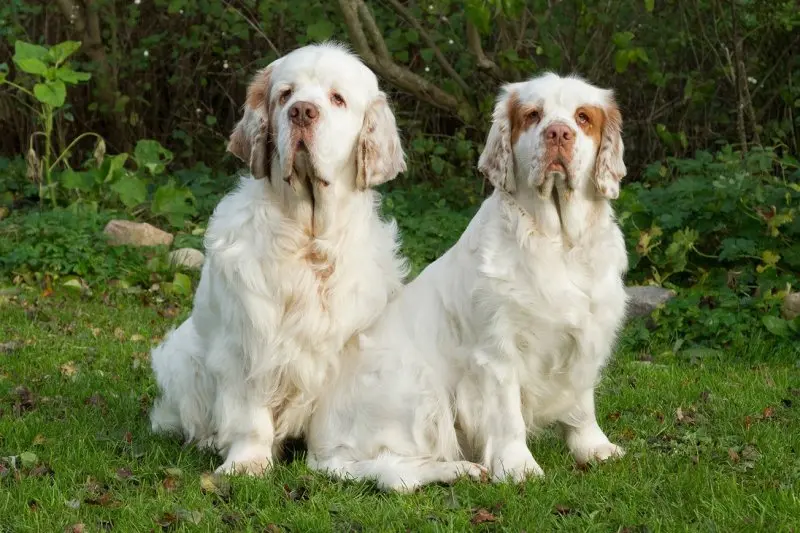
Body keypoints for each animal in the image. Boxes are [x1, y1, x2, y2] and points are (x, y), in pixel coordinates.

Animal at [150, 42, 410, 474]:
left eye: (337, 99)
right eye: (285, 95)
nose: (302, 111)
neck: (309, 242)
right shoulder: (246, 344)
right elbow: (248, 415)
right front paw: (246, 463)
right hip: (182, 356)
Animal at [310, 72, 628, 488]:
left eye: (583, 117)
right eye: (532, 115)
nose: (558, 133)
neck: (559, 242)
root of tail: (318, 449)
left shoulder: (587, 333)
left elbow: (581, 402)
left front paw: (594, 447)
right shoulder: (496, 352)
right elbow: (507, 418)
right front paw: (518, 467)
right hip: (417, 386)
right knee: (393, 469)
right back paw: (459, 469)